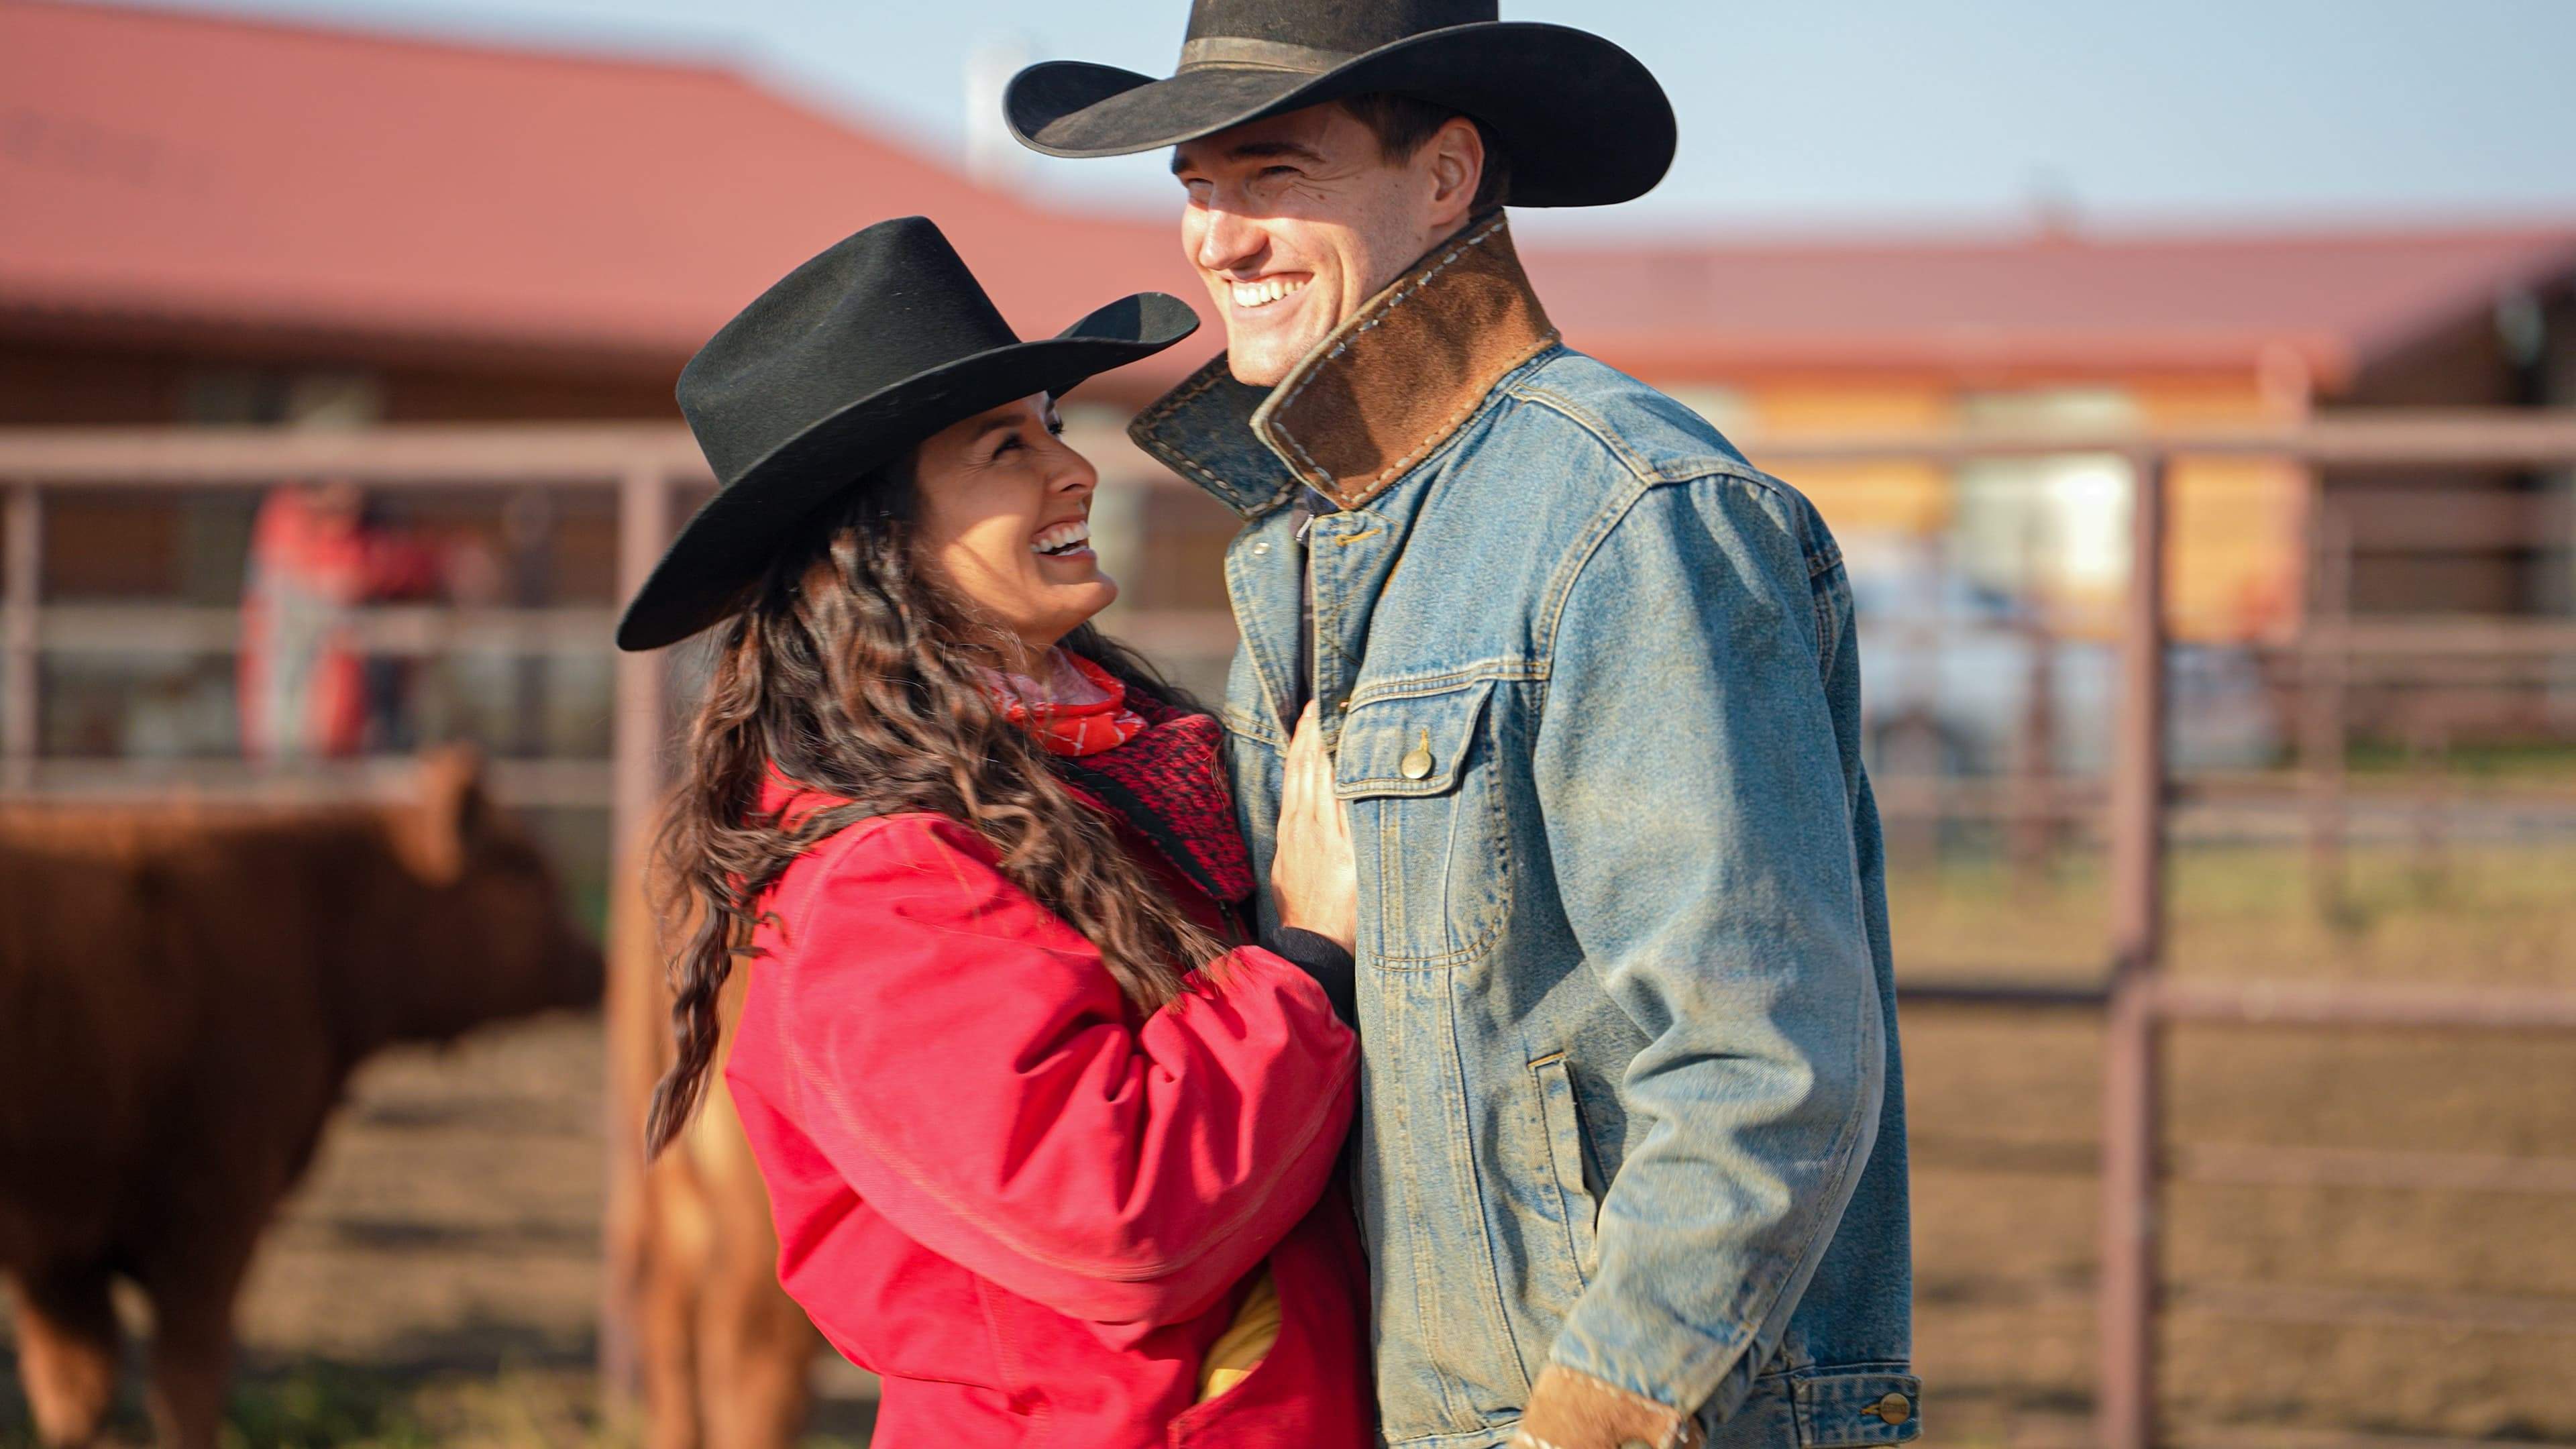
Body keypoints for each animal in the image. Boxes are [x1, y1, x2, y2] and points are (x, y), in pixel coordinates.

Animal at [0, 747, 597, 1433]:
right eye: (523, 868)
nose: (598, 964)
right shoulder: (206, 1224)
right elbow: (184, 1389)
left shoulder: (63, 1261)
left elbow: (78, 1395)